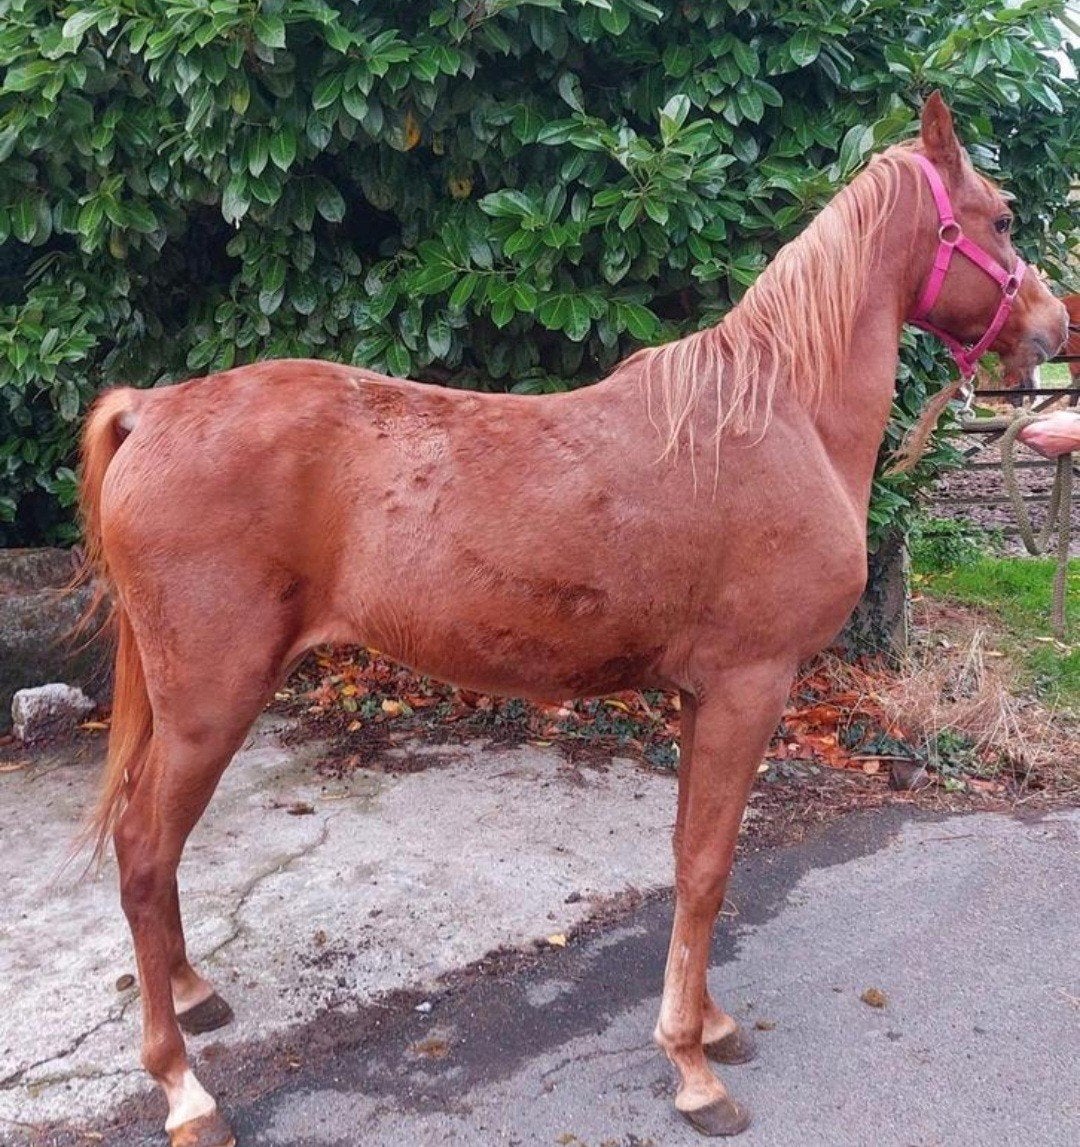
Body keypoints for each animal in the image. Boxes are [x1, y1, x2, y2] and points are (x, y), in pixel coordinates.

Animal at [76, 93, 1066, 1146]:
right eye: (1003, 217)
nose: (1054, 325)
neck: (776, 415)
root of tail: (154, 410)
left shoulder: (702, 694)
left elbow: (688, 856)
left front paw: (709, 1022)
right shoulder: (749, 686)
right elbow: (710, 866)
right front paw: (690, 1064)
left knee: (156, 854)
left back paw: (193, 992)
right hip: (210, 703)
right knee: (143, 850)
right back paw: (185, 1088)